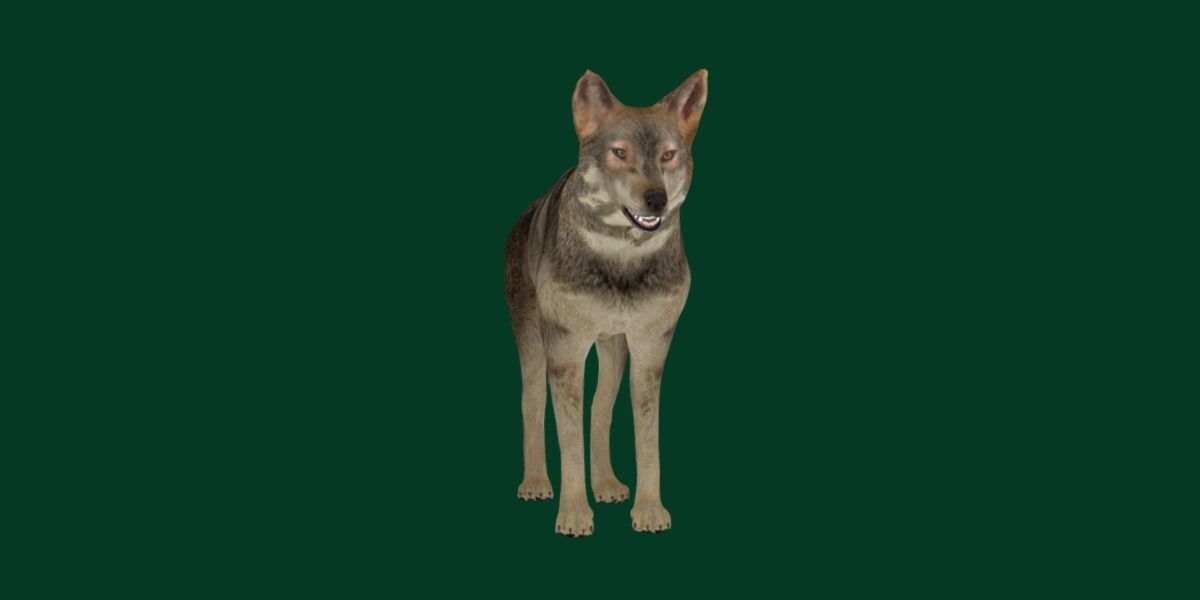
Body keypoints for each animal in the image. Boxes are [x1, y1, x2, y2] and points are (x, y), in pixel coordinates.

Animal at [504, 70, 708, 536]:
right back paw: (536, 482)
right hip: (534, 348)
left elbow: (647, 441)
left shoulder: (651, 347)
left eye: (668, 155)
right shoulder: (565, 351)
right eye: (620, 153)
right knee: (531, 406)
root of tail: (525, 212)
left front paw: (649, 510)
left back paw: (608, 484)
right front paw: (574, 514)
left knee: (600, 410)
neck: (621, 260)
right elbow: (568, 443)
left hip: (614, 349)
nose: (656, 199)